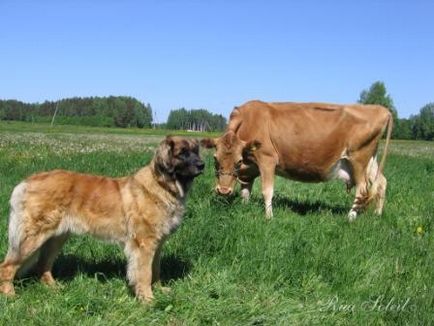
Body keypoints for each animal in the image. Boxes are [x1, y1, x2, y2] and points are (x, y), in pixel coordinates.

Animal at [0, 136, 204, 304]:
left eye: (196, 151)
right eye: (182, 153)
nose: (202, 164)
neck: (162, 184)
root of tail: (26, 182)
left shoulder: (157, 244)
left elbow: (156, 270)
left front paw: (160, 290)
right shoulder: (144, 244)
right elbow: (145, 273)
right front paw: (148, 299)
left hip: (56, 237)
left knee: (43, 265)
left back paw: (54, 288)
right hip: (32, 238)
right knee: (7, 266)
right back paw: (10, 295)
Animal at [202, 100, 396, 222]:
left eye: (238, 161)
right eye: (215, 158)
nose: (223, 190)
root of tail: (382, 110)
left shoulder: (267, 159)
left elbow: (267, 191)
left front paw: (269, 217)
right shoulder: (250, 169)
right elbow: (245, 190)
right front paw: (244, 207)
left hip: (358, 159)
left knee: (362, 189)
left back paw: (350, 218)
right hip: (370, 161)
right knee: (381, 183)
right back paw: (377, 214)